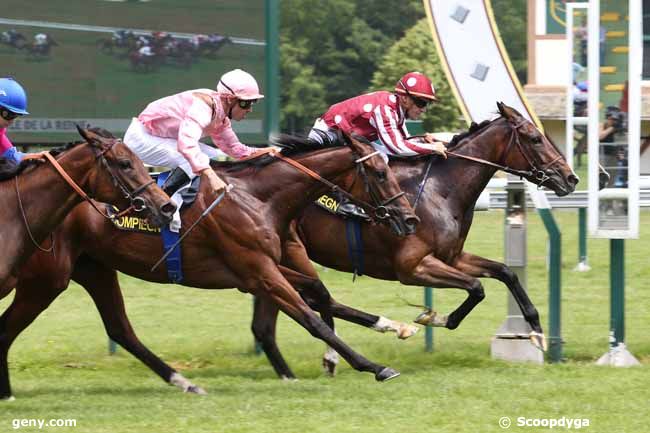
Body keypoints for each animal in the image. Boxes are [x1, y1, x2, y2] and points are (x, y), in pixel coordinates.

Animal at [248, 101, 576, 378]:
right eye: (535, 138)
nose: (571, 178)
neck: (440, 189)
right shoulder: (413, 267)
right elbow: (476, 287)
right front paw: (433, 318)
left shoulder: (452, 257)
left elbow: (506, 272)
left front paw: (536, 331)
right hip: (290, 256)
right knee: (312, 302)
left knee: (270, 323)